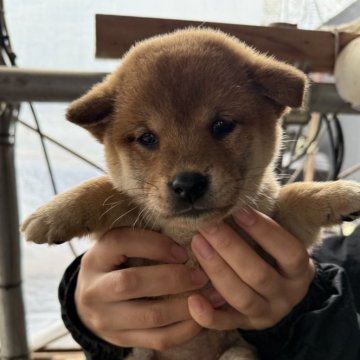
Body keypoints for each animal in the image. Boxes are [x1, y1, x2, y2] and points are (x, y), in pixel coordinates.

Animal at [21, 28, 360, 360]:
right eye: (147, 138)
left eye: (221, 125)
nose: (187, 184)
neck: (191, 234)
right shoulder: (130, 228)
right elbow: (109, 190)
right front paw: (51, 214)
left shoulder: (280, 230)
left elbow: (296, 195)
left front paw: (342, 193)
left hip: (237, 353)